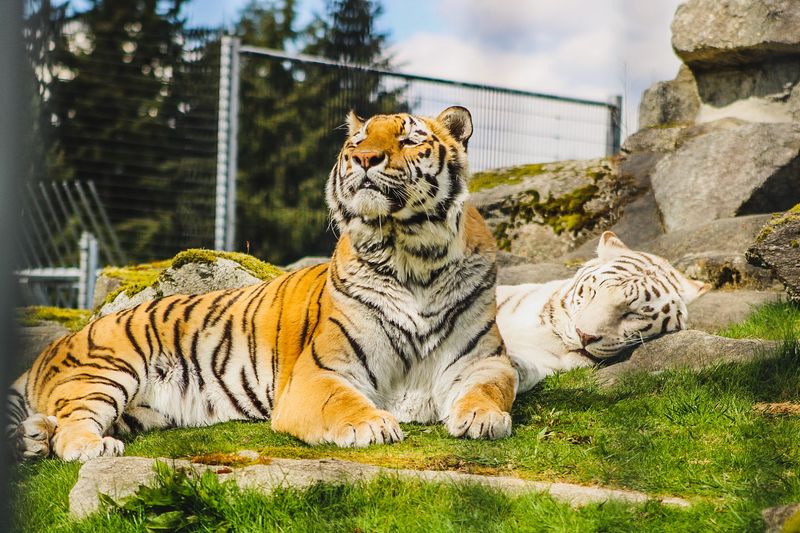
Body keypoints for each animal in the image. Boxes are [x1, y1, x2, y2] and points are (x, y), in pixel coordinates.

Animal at [8, 106, 518, 462]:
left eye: (410, 138)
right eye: (358, 139)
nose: (363, 157)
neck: (412, 256)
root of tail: (52, 347)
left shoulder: (484, 361)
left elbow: (489, 389)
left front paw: (482, 418)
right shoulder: (319, 374)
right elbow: (343, 403)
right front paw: (374, 425)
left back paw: (34, 439)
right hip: (106, 372)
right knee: (72, 421)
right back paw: (82, 445)